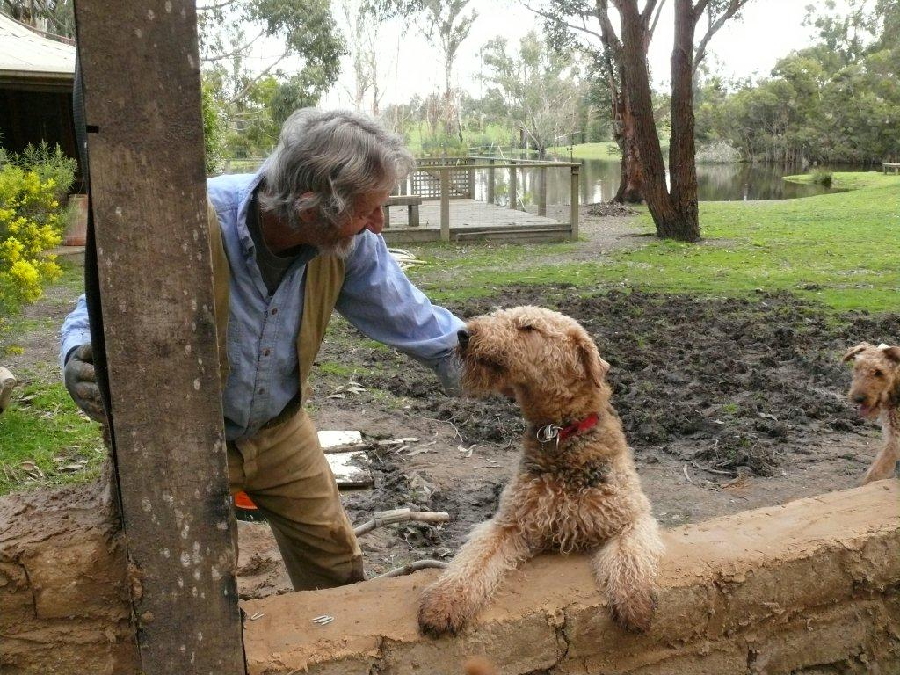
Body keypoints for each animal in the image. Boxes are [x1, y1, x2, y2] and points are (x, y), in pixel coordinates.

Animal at [418, 308, 664, 636]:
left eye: (528, 327)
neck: (560, 433)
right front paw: (443, 604)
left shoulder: (629, 518)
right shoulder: (509, 523)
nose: (463, 334)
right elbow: (473, 560)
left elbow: (630, 558)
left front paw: (635, 606)